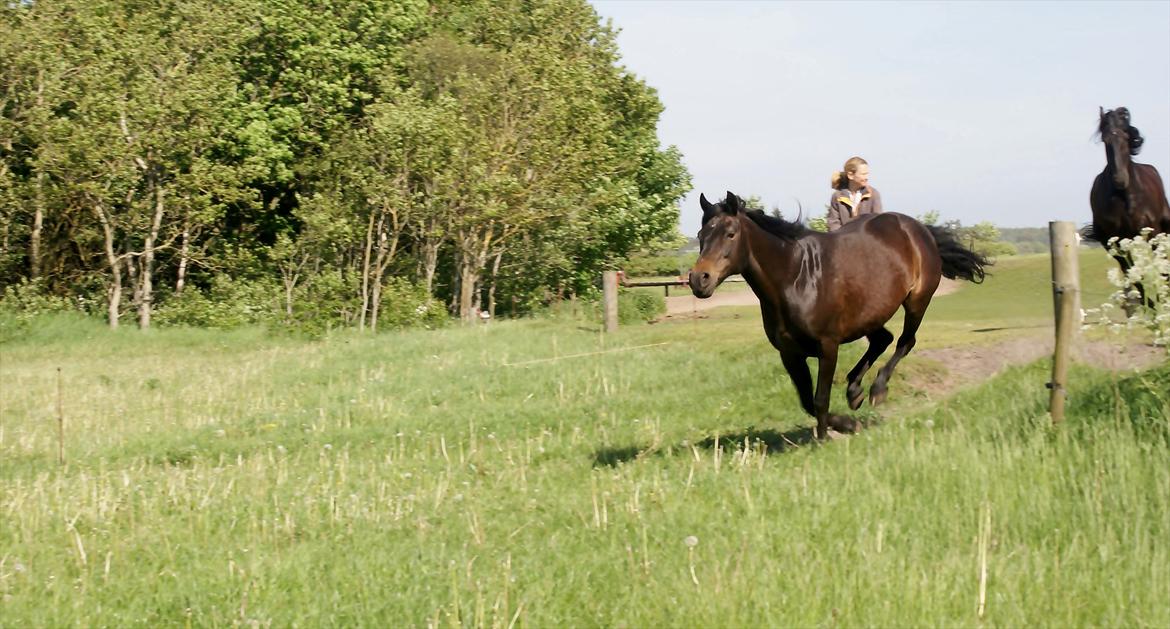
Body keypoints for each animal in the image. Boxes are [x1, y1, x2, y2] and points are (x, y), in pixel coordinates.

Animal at [687, 192, 992, 437]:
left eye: (730, 233)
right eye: (701, 236)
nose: (699, 279)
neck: (796, 277)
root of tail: (918, 228)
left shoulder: (828, 346)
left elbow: (820, 398)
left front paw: (824, 438)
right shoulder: (790, 353)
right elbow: (807, 401)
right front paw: (846, 423)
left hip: (916, 301)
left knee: (905, 341)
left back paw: (877, 390)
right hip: (871, 312)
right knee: (882, 339)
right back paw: (854, 392)